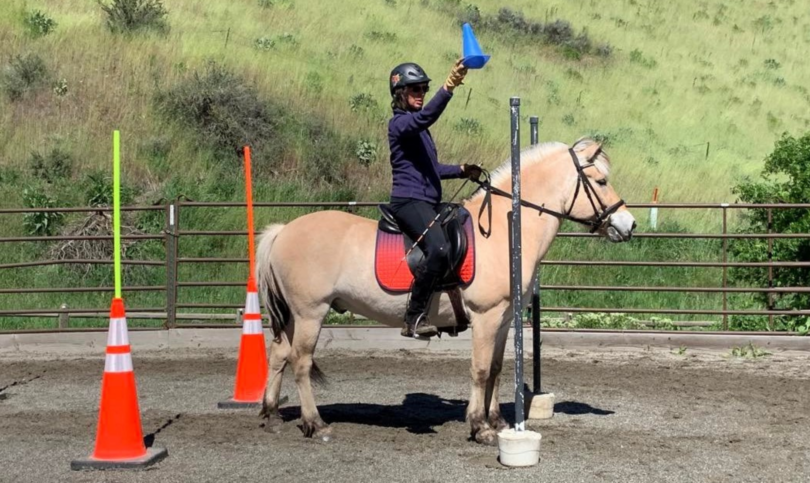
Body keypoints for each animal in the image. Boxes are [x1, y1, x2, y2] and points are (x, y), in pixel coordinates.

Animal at [256, 138, 636, 444]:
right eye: (601, 181)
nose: (628, 224)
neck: (505, 231)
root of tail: (283, 230)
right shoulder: (485, 316)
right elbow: (479, 369)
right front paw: (479, 427)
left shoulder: (503, 319)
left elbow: (496, 368)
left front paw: (497, 421)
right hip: (311, 312)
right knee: (300, 361)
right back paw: (315, 424)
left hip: (295, 315)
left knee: (278, 354)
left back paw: (272, 415)